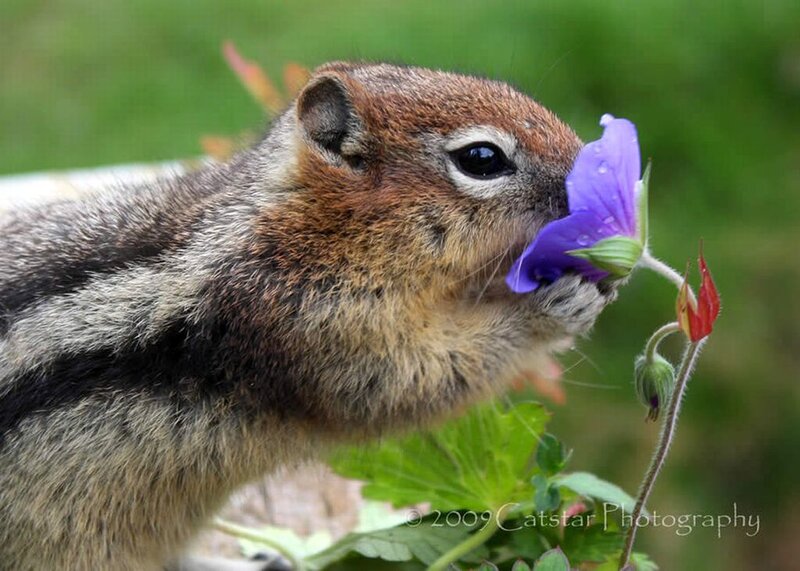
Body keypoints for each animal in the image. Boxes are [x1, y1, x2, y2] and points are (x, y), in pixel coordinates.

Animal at [0, 62, 614, 570]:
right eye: (481, 159)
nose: (595, 174)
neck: (307, 226)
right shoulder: (310, 324)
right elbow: (414, 382)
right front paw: (551, 307)